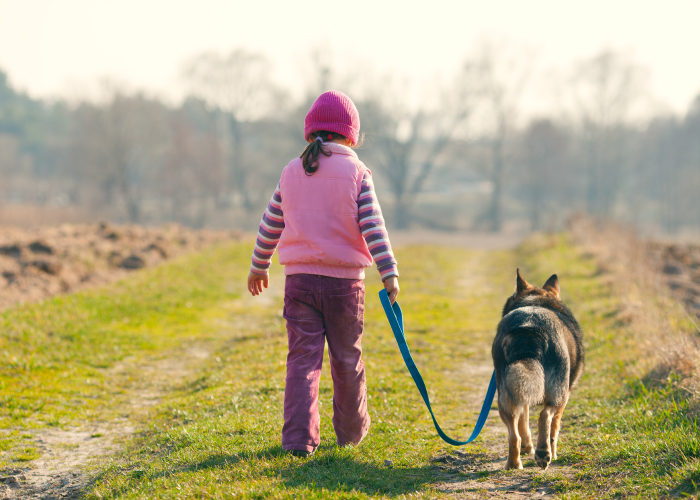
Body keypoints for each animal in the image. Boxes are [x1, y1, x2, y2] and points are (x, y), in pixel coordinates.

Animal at [492, 270, 584, 468]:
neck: (535, 301)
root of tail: (529, 329)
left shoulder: (522, 390)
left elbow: (523, 423)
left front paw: (527, 448)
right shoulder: (564, 396)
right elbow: (554, 428)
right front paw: (553, 453)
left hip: (506, 394)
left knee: (514, 435)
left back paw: (513, 464)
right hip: (558, 393)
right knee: (545, 416)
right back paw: (544, 453)